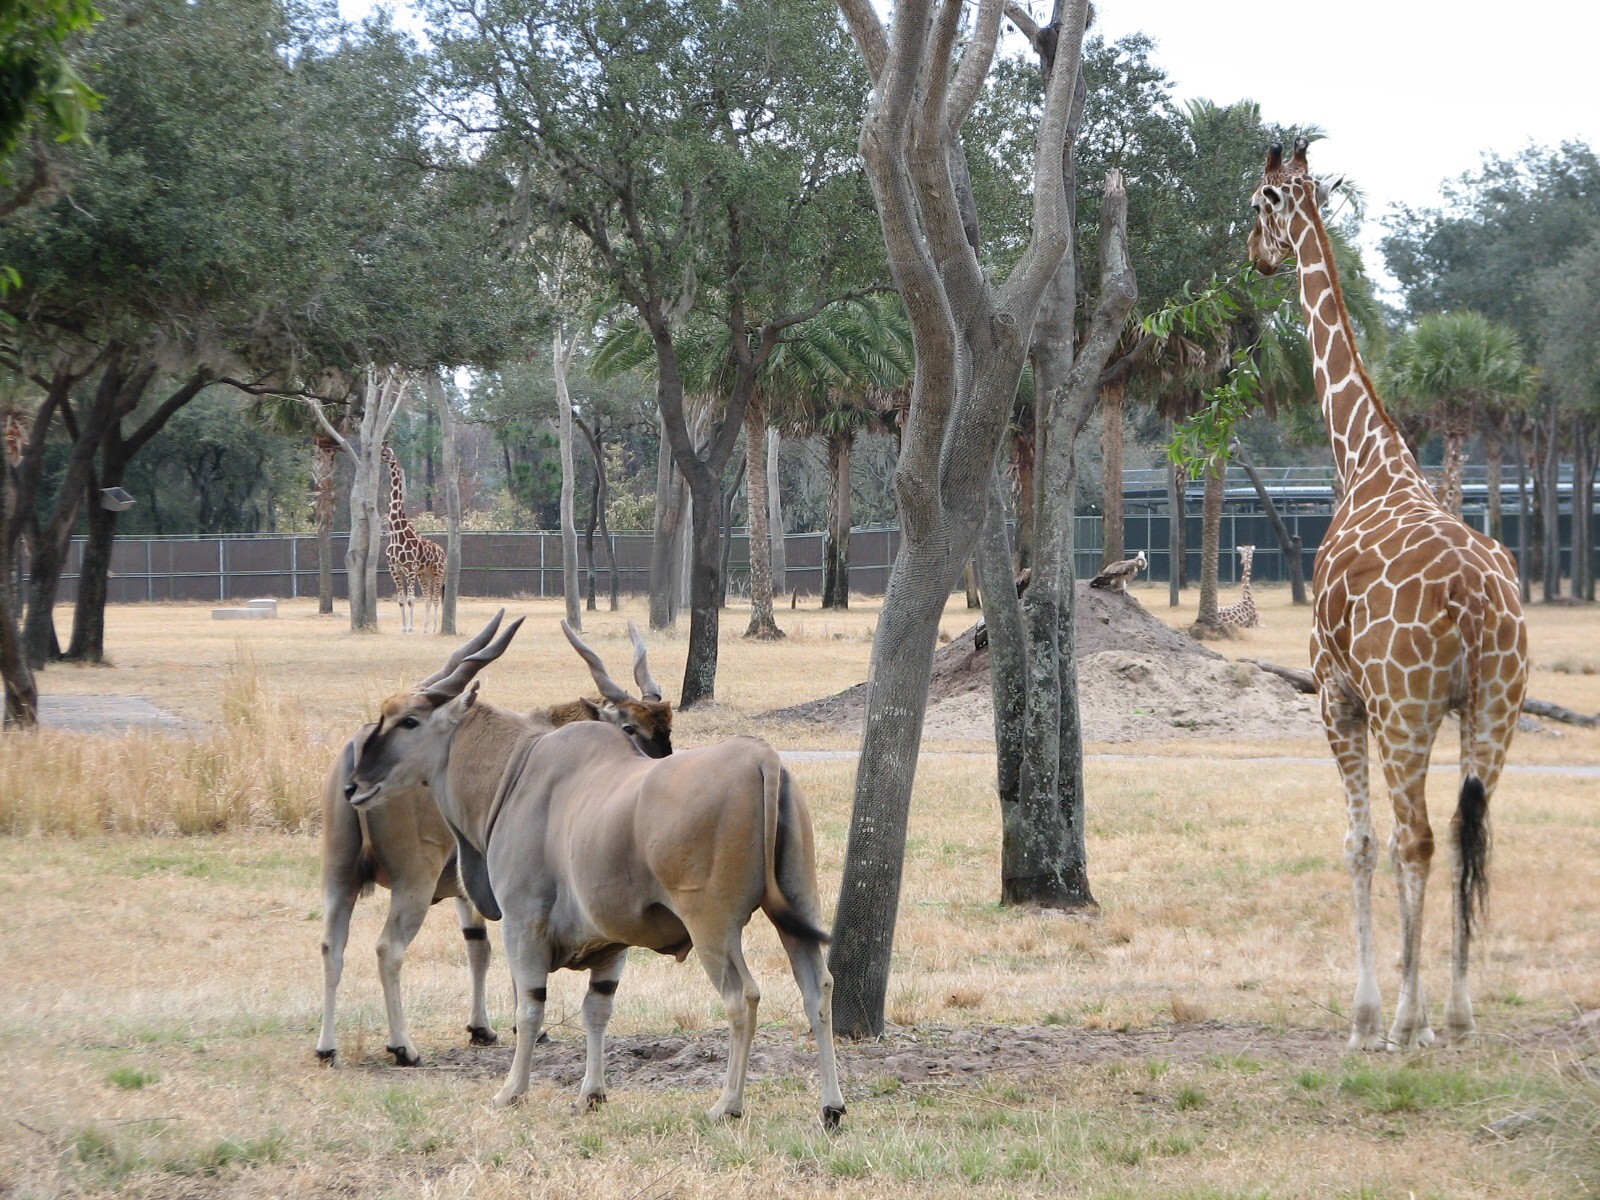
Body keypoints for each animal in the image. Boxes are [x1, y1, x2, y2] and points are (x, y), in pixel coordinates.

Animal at [380, 444, 446, 635]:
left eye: (385, 453)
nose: (379, 459)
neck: (396, 532)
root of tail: (443, 552)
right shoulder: (395, 570)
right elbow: (401, 600)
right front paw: (404, 628)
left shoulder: (409, 569)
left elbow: (411, 600)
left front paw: (410, 628)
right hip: (425, 574)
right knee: (428, 598)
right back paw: (425, 628)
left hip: (438, 572)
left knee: (436, 598)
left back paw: (434, 629)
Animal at [1247, 139, 1528, 1051]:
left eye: (1257, 206)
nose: (1255, 257)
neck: (1365, 459)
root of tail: (1476, 602)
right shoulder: (1411, 707)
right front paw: (1421, 1013)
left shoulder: (1338, 696)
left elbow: (1359, 842)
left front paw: (1368, 1017)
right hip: (1493, 709)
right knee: (1471, 833)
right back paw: (1460, 1016)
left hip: (1407, 710)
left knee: (1417, 838)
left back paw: (1404, 1022)